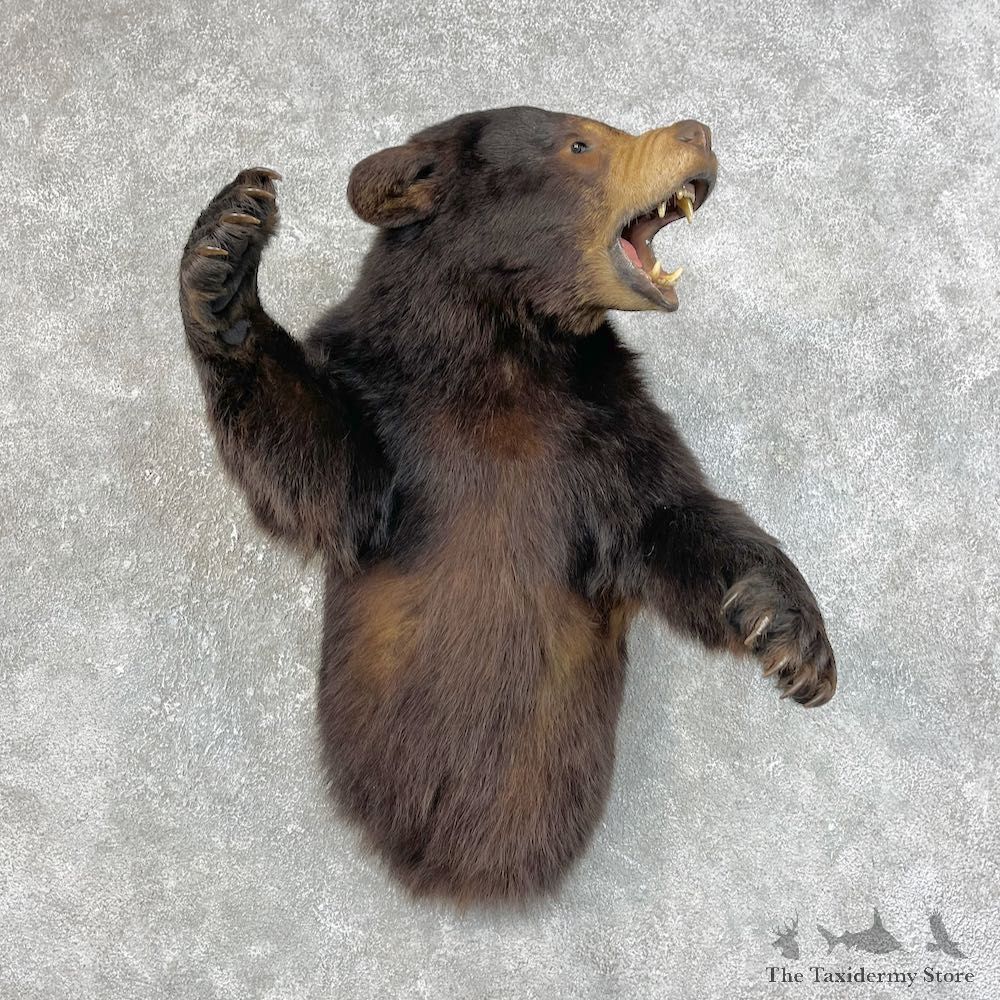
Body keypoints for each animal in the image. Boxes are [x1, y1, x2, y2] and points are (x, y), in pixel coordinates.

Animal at [178, 106, 836, 904]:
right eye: (581, 141)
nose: (696, 131)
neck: (505, 348)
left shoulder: (606, 424)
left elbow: (671, 520)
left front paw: (792, 637)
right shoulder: (389, 399)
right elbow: (327, 473)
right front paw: (226, 251)